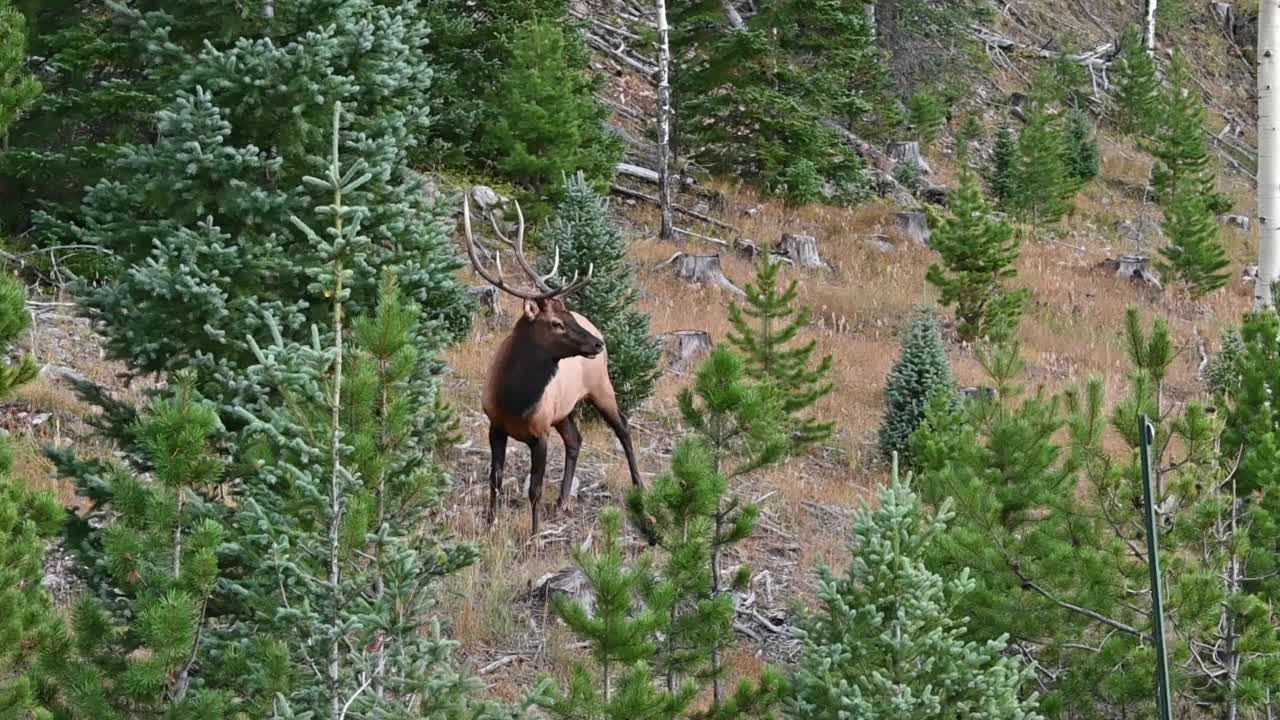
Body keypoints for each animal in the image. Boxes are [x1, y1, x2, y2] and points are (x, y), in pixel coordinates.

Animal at [463, 190, 645, 532]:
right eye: (557, 323)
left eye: (568, 315)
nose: (597, 343)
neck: (515, 399)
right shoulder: (495, 424)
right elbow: (495, 478)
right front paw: (490, 524)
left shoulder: (541, 433)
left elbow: (534, 489)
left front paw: (534, 534)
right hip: (564, 410)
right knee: (576, 439)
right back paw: (562, 501)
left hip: (601, 387)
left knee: (624, 429)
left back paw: (640, 488)